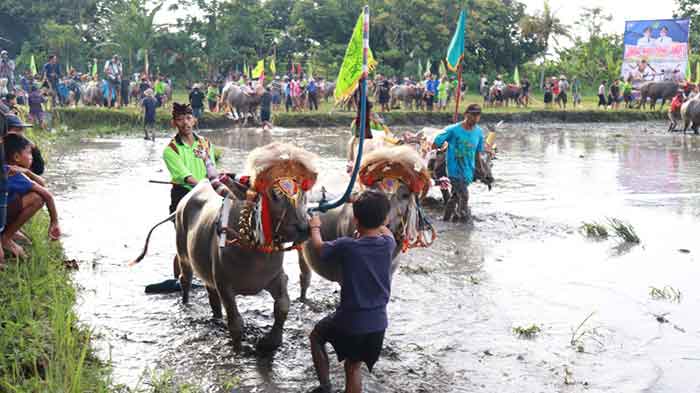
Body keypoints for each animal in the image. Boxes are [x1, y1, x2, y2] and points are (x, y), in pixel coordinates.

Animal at [130, 142, 318, 350]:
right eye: (274, 195)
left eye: (303, 195)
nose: (304, 229)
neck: (254, 253)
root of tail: (183, 203)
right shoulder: (224, 284)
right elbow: (236, 322)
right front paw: (239, 347)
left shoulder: (276, 277)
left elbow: (283, 305)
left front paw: (271, 341)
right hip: (184, 256)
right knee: (184, 280)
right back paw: (186, 304)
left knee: (211, 296)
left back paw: (216, 317)